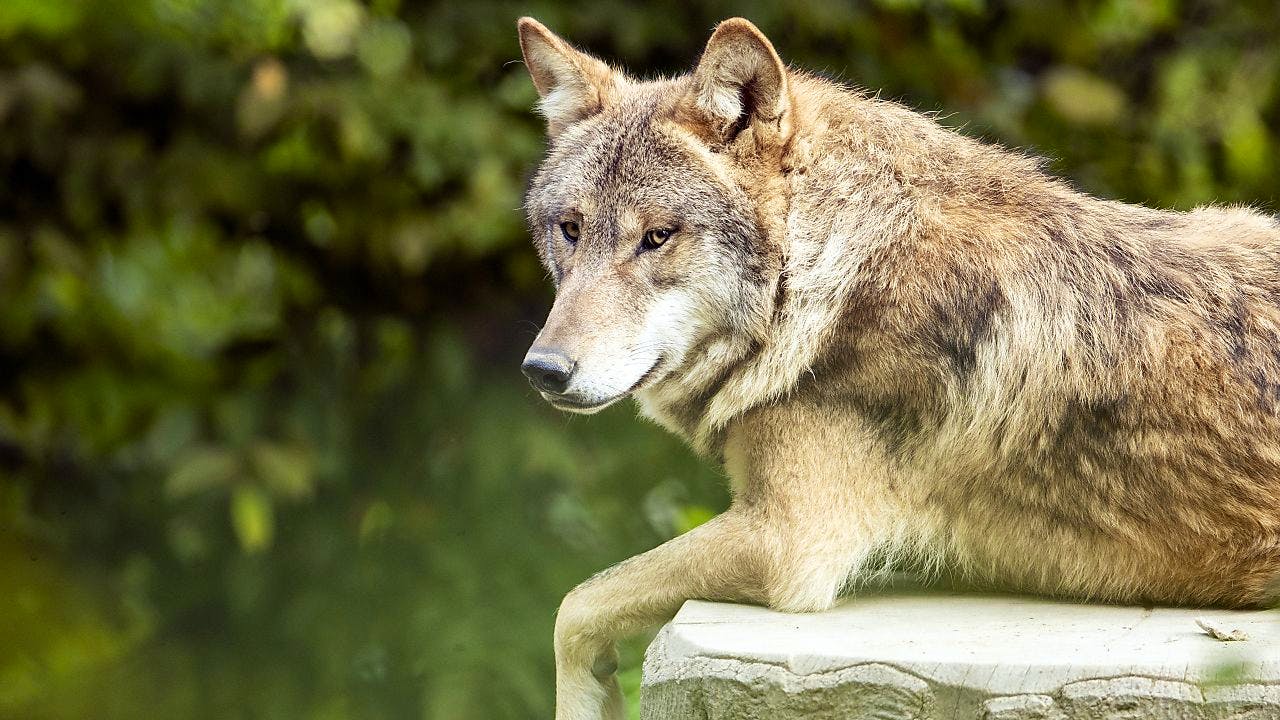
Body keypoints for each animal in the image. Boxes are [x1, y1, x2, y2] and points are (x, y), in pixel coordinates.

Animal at [516, 16, 1280, 720]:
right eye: (571, 230)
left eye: (657, 237)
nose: (543, 370)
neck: (828, 270)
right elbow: (581, 601)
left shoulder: (786, 543)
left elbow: (573, 605)